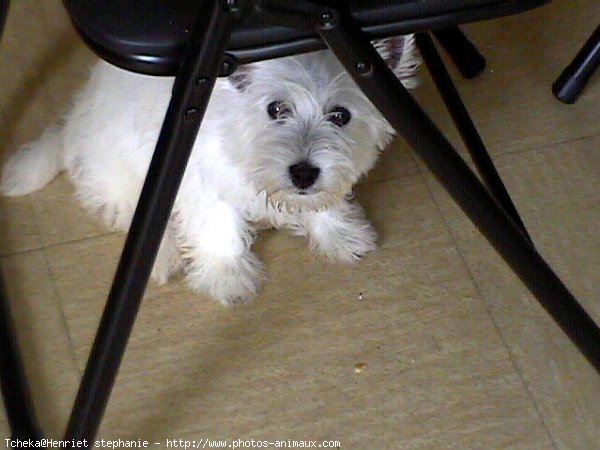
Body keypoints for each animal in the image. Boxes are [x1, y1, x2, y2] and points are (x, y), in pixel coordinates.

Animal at [1, 34, 418, 302]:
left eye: (341, 115)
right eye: (276, 109)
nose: (303, 172)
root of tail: (71, 122)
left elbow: (322, 202)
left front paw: (341, 234)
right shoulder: (202, 181)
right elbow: (220, 228)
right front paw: (228, 276)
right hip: (123, 170)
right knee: (134, 215)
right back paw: (163, 257)